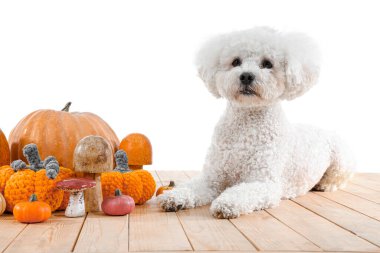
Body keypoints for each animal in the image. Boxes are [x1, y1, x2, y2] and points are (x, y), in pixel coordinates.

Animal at [157, 26, 354, 218]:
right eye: (236, 61)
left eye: (267, 64)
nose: (246, 76)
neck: (246, 127)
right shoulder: (212, 177)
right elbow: (192, 186)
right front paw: (175, 197)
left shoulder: (263, 182)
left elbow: (242, 192)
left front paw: (226, 204)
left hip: (342, 160)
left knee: (340, 178)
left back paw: (325, 184)